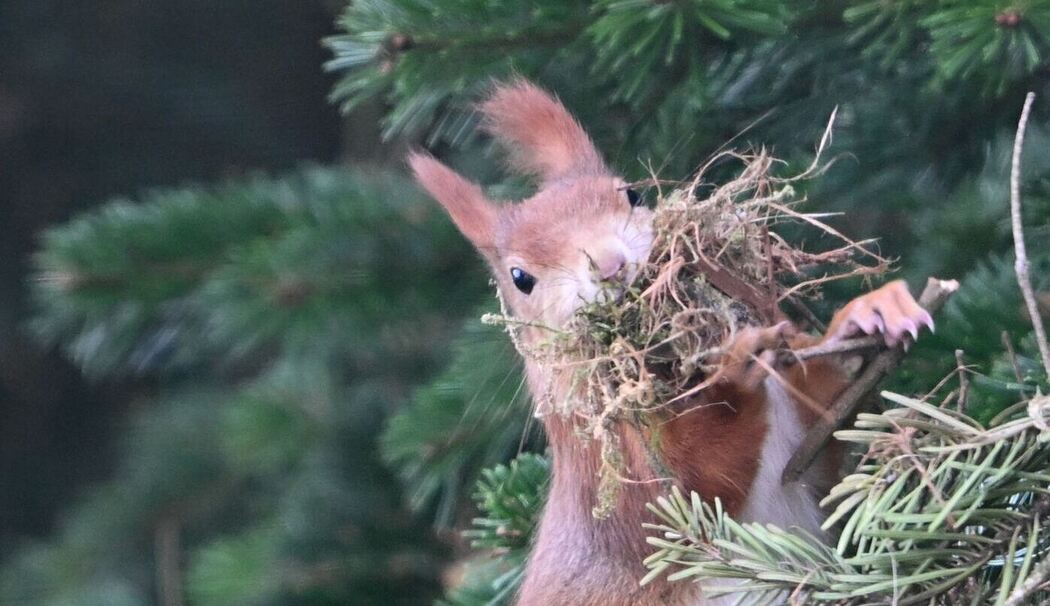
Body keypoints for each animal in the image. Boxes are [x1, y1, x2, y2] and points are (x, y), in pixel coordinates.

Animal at [409, 80, 933, 606]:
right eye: (520, 278)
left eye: (632, 193)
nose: (610, 265)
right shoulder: (619, 475)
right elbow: (695, 490)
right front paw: (730, 381)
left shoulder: (801, 452)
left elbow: (825, 436)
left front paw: (867, 315)